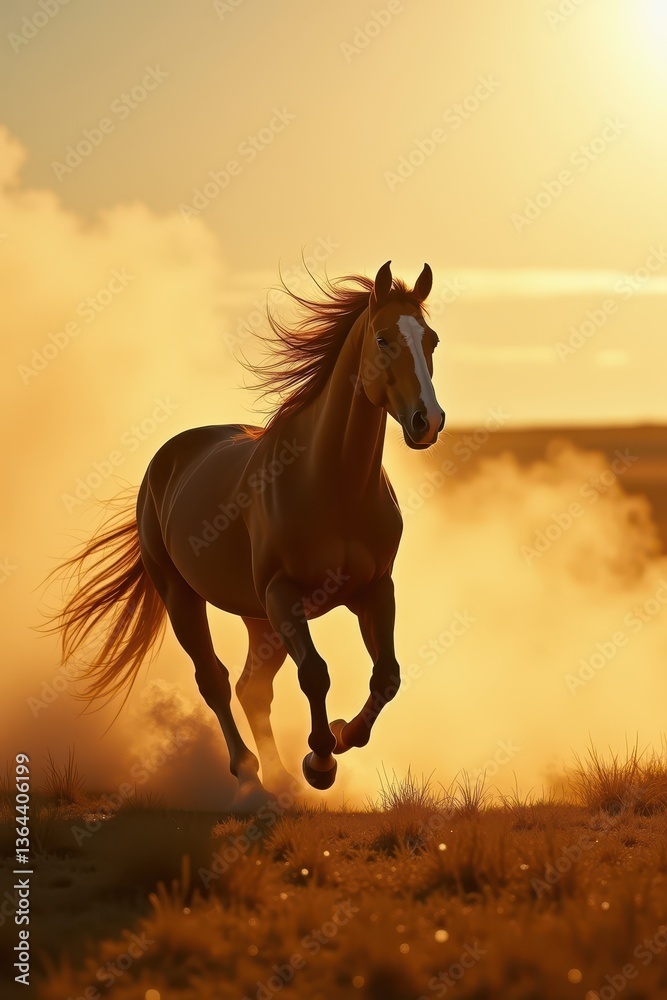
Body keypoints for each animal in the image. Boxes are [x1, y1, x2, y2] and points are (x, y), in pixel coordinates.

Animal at [52, 261, 445, 810]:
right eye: (384, 338)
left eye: (431, 339)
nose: (427, 421)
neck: (332, 483)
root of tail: (166, 461)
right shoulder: (284, 595)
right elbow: (315, 672)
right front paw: (319, 763)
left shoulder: (374, 590)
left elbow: (387, 676)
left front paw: (342, 735)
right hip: (185, 597)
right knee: (215, 680)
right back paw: (251, 777)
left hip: (257, 618)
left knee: (251, 688)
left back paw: (278, 779)